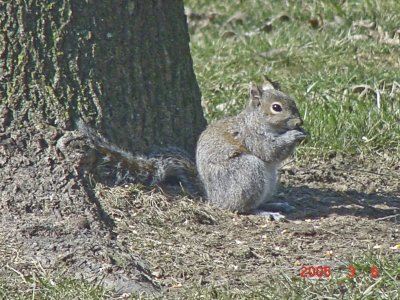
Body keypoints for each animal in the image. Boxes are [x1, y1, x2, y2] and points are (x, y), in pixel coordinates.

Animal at [78, 81, 306, 219]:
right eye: (276, 107)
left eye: (293, 102)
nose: (299, 122)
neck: (258, 122)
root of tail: (211, 196)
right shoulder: (250, 136)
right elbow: (269, 151)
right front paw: (294, 136)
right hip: (247, 172)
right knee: (239, 208)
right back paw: (263, 212)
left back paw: (276, 204)